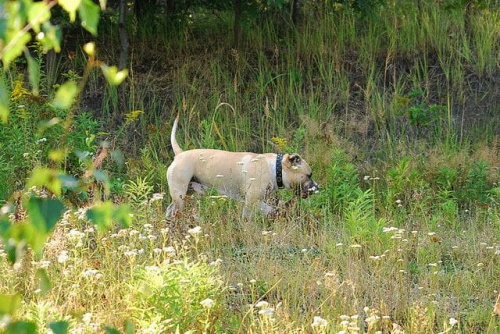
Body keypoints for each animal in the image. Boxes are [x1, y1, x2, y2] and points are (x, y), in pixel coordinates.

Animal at [166, 115, 318, 219]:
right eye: (309, 175)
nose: (318, 187)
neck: (275, 168)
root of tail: (179, 154)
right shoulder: (251, 202)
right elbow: (259, 213)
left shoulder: (254, 202)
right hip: (179, 195)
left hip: (187, 192)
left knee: (169, 210)